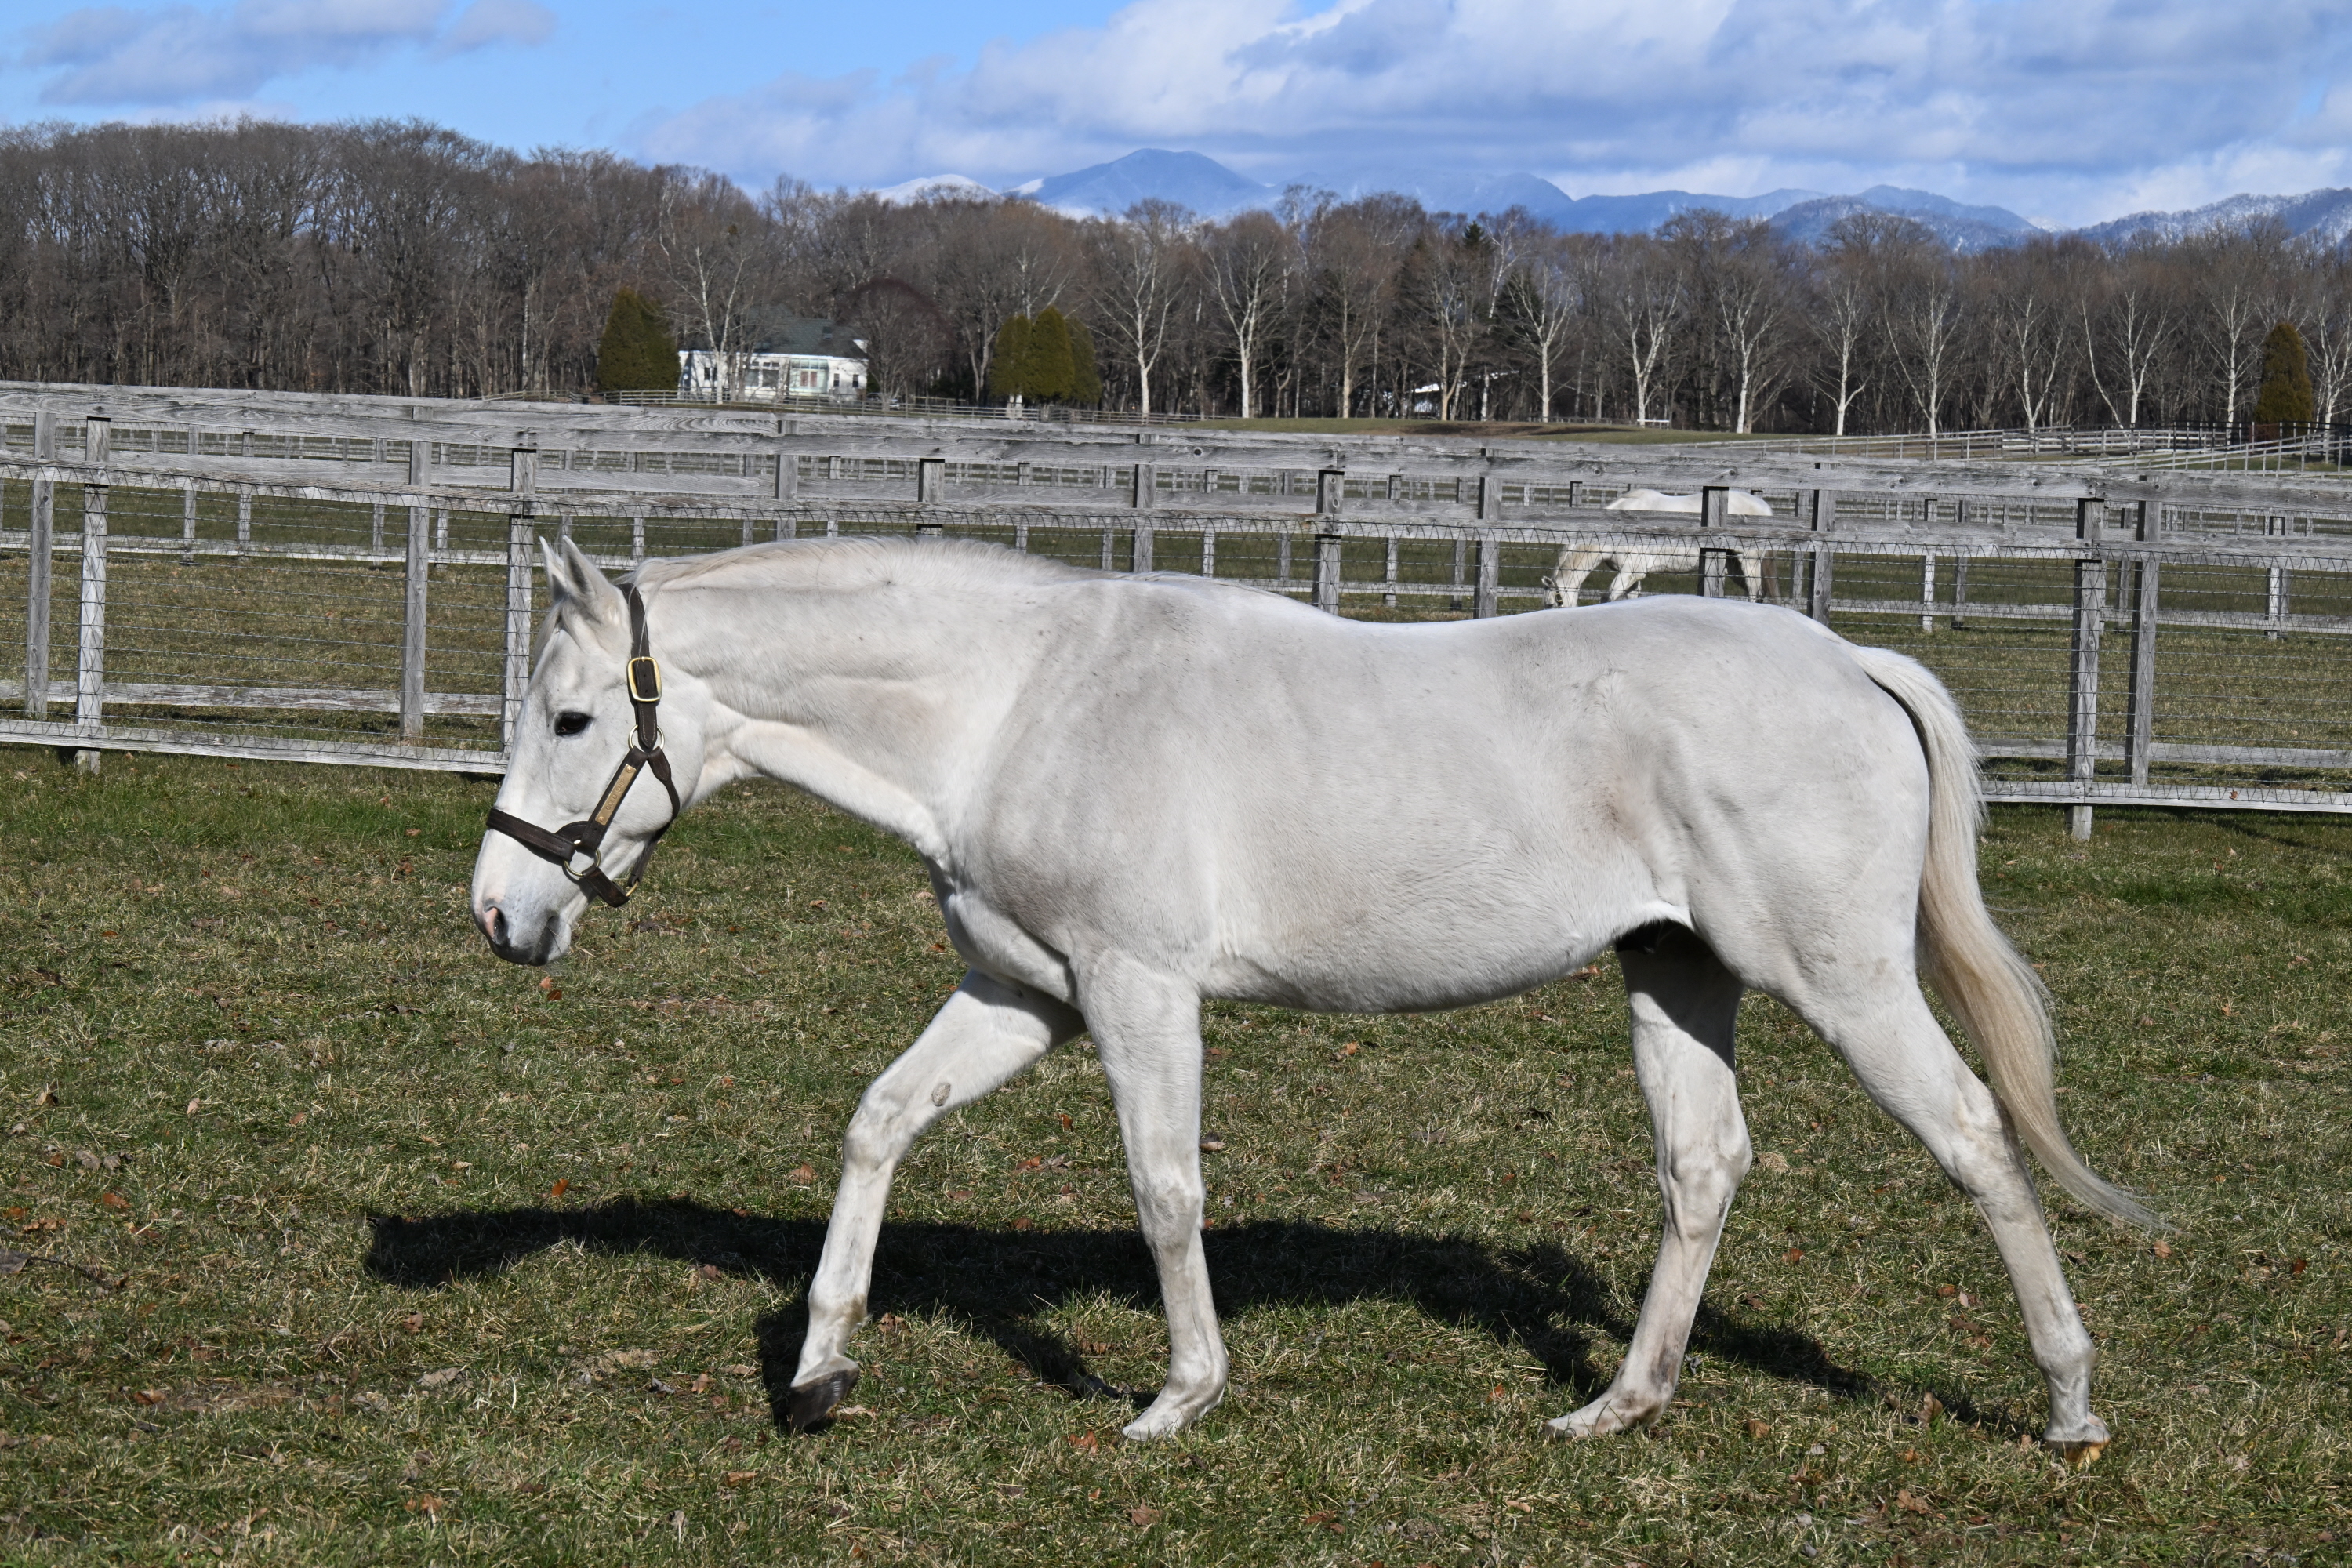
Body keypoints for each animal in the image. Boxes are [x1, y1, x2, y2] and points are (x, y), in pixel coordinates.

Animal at [471, 533, 2152, 1458]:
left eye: (572, 719)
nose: (501, 913)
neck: (1015, 708)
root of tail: (1853, 662)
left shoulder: (1137, 994)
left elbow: (1165, 1189)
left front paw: (1179, 1400)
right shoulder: (1024, 994)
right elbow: (879, 1124)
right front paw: (820, 1372)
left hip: (1842, 979)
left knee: (1974, 1137)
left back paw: (2071, 1406)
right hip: (1678, 976)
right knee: (1704, 1169)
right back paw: (1619, 1407)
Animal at [1544, 488, 1775, 607]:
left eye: (1553, 604)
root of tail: (1765, 507)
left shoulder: (1630, 572)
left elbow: (1607, 598)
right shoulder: (1632, 576)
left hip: (1749, 563)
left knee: (1755, 594)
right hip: (1733, 568)